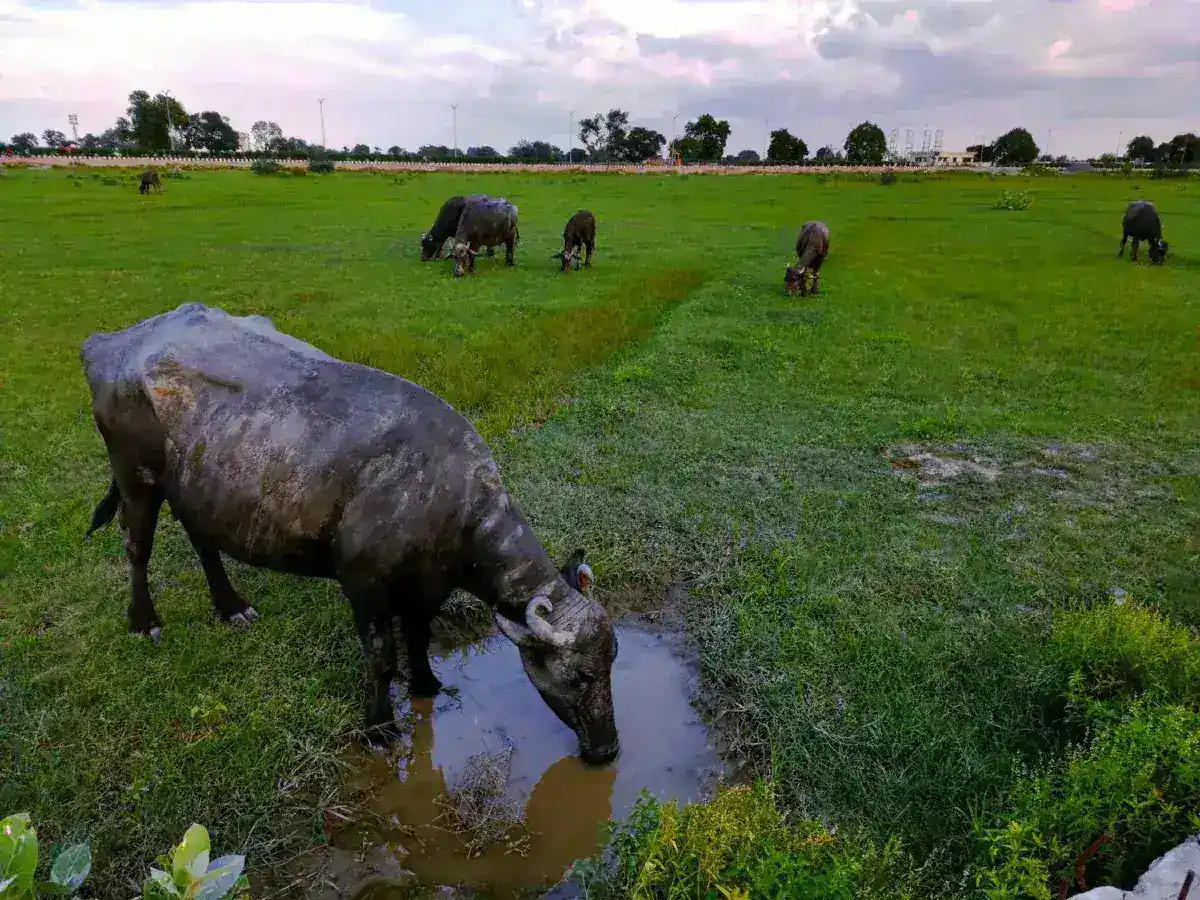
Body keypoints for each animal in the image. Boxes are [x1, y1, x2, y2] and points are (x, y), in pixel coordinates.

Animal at [81, 303, 620, 765]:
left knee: (202, 540)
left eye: (612, 658)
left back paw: (231, 606)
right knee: (137, 546)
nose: (608, 748)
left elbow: (419, 636)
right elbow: (381, 659)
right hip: (135, 479)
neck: (448, 500)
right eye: (582, 675)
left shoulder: (428, 586)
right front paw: (379, 727)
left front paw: (426, 684)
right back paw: (145, 620)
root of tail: (110, 343)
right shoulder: (363, 587)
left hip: (197, 490)